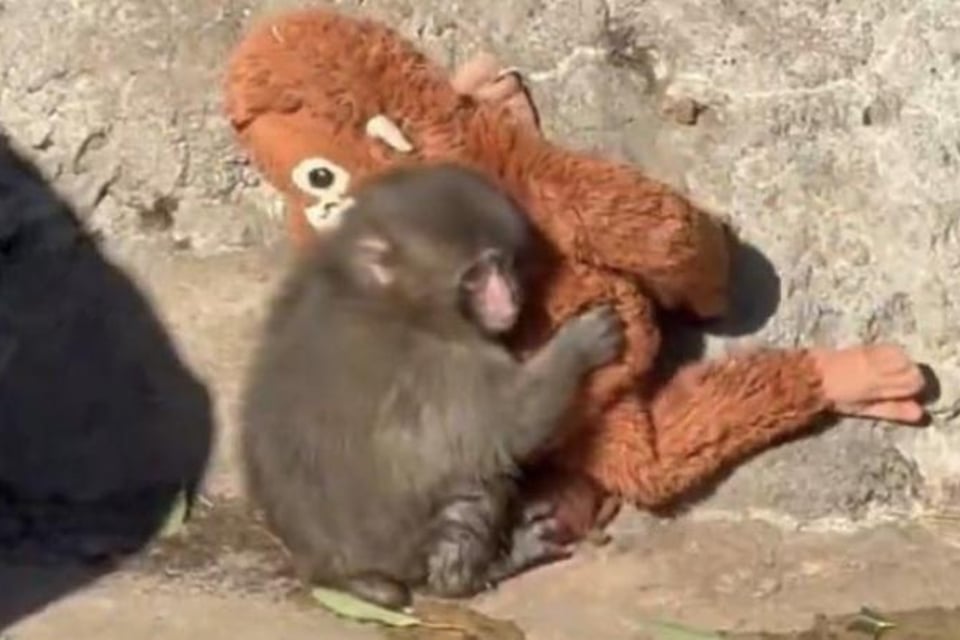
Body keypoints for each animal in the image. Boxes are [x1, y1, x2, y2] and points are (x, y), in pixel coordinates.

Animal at [239, 163, 625, 610]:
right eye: (475, 276)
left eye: (503, 264)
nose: (508, 298)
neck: (385, 296)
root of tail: (330, 570)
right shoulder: (444, 362)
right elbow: (512, 424)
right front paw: (580, 343)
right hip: (406, 547)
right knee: (473, 481)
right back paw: (476, 573)